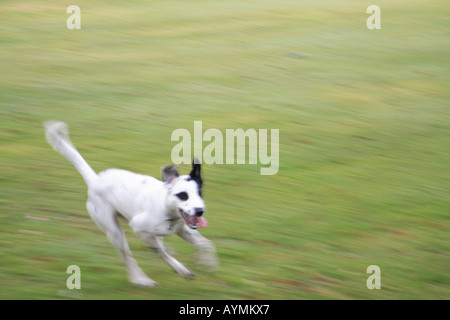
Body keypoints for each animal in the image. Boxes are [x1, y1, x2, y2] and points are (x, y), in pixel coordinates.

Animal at [44, 120, 218, 288]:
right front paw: (180, 267)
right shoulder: (139, 228)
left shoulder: (182, 230)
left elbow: (205, 244)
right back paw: (140, 279)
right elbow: (159, 251)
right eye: (182, 195)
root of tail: (95, 180)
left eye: (199, 193)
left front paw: (207, 263)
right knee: (127, 256)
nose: (200, 211)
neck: (166, 210)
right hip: (114, 232)